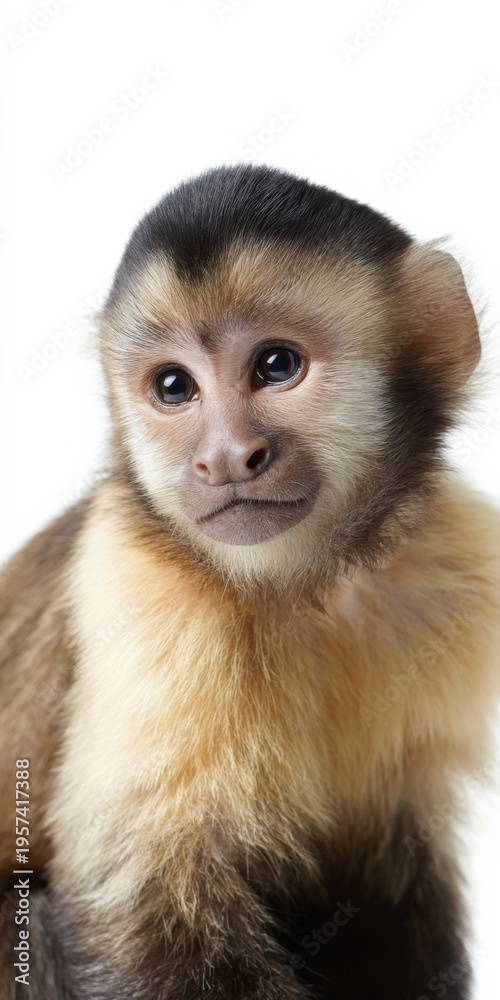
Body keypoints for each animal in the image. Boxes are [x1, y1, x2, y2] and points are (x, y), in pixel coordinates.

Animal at [1, 163, 500, 1000]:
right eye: (174, 387)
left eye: (275, 366)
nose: (225, 458)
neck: (310, 590)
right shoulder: (134, 584)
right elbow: (141, 910)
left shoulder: (455, 568)